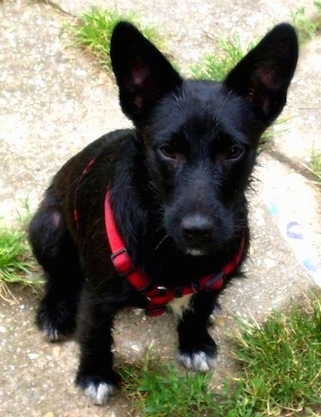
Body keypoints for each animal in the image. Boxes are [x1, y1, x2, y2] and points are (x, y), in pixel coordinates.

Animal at [28, 22, 298, 404]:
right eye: (168, 150)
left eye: (233, 151)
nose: (198, 230)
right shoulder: (96, 297)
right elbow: (95, 335)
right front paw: (95, 374)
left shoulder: (214, 277)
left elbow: (200, 307)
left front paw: (195, 340)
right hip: (48, 227)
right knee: (58, 274)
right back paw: (54, 310)